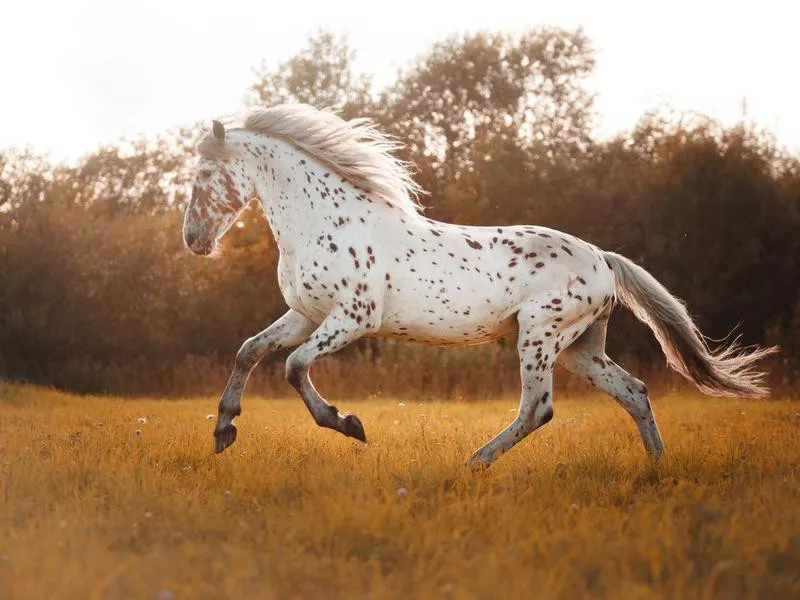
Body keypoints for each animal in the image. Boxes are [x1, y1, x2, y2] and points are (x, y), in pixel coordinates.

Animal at [183, 103, 776, 468]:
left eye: (204, 175)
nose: (193, 240)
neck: (326, 219)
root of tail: (603, 260)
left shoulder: (352, 318)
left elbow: (293, 366)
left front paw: (349, 424)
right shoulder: (306, 314)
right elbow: (249, 351)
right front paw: (223, 431)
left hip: (539, 335)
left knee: (537, 409)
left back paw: (472, 463)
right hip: (580, 348)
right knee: (634, 392)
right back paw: (655, 467)